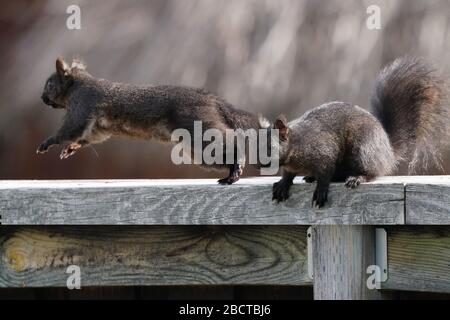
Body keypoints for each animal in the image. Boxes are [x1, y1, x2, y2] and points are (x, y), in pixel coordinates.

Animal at [39, 56, 264, 184]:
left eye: (49, 84)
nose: (42, 98)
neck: (78, 84)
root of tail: (211, 99)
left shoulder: (83, 104)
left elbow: (71, 128)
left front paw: (47, 143)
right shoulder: (98, 126)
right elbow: (91, 135)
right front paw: (71, 148)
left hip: (199, 128)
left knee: (231, 141)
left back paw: (236, 170)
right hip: (200, 151)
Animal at [270, 57, 450, 208]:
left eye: (271, 147)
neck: (296, 142)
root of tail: (387, 151)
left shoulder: (323, 150)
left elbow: (325, 172)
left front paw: (321, 189)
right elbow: (289, 174)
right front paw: (283, 184)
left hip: (362, 150)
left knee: (370, 172)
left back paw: (357, 178)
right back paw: (311, 177)